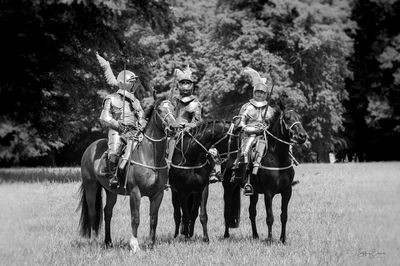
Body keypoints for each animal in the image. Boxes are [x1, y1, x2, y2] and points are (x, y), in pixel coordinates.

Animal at [77, 97, 180, 251]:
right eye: (160, 110)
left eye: (173, 109)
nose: (174, 128)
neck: (150, 156)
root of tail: (90, 148)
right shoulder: (135, 193)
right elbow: (135, 218)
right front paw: (134, 245)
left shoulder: (158, 194)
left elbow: (153, 219)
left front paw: (151, 245)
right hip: (91, 187)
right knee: (93, 213)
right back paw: (95, 242)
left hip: (111, 191)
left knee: (107, 212)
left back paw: (108, 242)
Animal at [222, 106, 306, 243]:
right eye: (287, 118)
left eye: (299, 117)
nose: (303, 136)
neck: (278, 158)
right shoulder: (268, 193)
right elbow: (270, 217)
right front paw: (270, 239)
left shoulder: (287, 192)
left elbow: (284, 216)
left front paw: (283, 239)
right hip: (228, 188)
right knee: (227, 211)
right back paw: (226, 235)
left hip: (253, 192)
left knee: (252, 212)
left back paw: (255, 235)